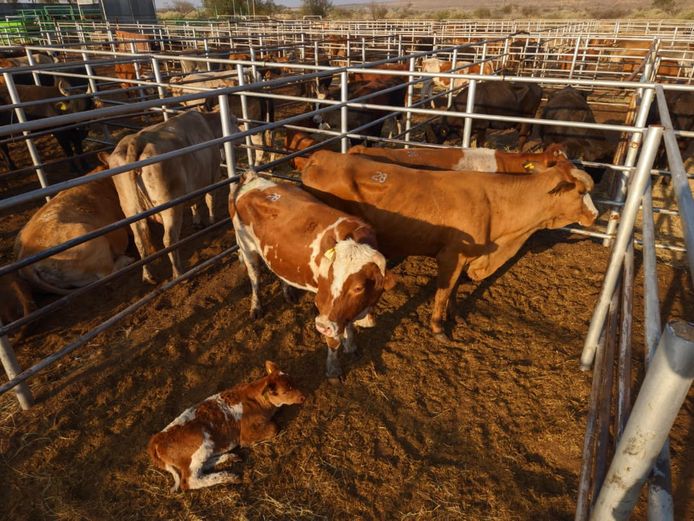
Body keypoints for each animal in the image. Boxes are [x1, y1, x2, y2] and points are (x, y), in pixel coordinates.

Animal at [105, 110, 240, 284]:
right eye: (235, 121)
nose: (240, 133)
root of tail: (137, 139)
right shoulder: (213, 174)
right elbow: (210, 199)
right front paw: (211, 221)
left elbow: (195, 203)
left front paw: (197, 221)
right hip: (170, 206)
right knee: (168, 240)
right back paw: (179, 274)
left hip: (130, 208)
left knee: (139, 239)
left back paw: (148, 276)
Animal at [147, 360, 305, 492]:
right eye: (286, 391)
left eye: (294, 382)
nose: (303, 397)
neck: (258, 400)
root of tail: (157, 439)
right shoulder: (246, 434)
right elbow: (274, 428)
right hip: (201, 445)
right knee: (189, 480)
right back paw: (228, 476)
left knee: (202, 467)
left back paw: (229, 457)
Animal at [229, 170, 395, 380]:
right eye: (328, 277)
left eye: (358, 287)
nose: (321, 325)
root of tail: (251, 177)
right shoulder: (326, 309)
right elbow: (333, 340)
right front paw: (333, 369)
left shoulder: (343, 311)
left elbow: (347, 325)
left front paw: (351, 346)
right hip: (247, 248)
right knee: (255, 278)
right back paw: (256, 307)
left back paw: (288, 293)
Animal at [301, 150, 598, 340]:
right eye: (581, 192)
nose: (594, 215)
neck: (494, 204)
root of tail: (321, 155)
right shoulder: (450, 256)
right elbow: (443, 292)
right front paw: (438, 328)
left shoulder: (466, 257)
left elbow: (453, 291)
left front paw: (456, 316)